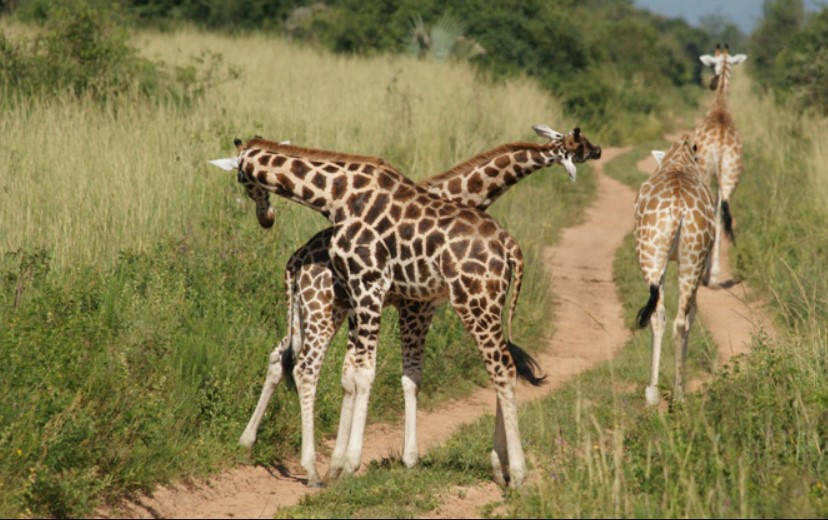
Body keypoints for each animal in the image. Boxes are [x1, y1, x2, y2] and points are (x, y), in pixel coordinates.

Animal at [230, 126, 600, 488]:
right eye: (577, 143)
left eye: (242, 180)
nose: (266, 217)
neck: (339, 193)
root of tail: (294, 260)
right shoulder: (393, 299)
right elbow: (374, 375)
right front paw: (363, 462)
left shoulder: (389, 296)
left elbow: (371, 375)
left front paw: (355, 463)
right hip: (326, 307)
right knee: (295, 362)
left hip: (452, 304)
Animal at [632, 133, 716, 406]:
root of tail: (678, 207)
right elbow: (693, 312)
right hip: (690, 259)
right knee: (679, 319)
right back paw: (676, 394)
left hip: (652, 254)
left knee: (661, 315)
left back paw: (655, 392)